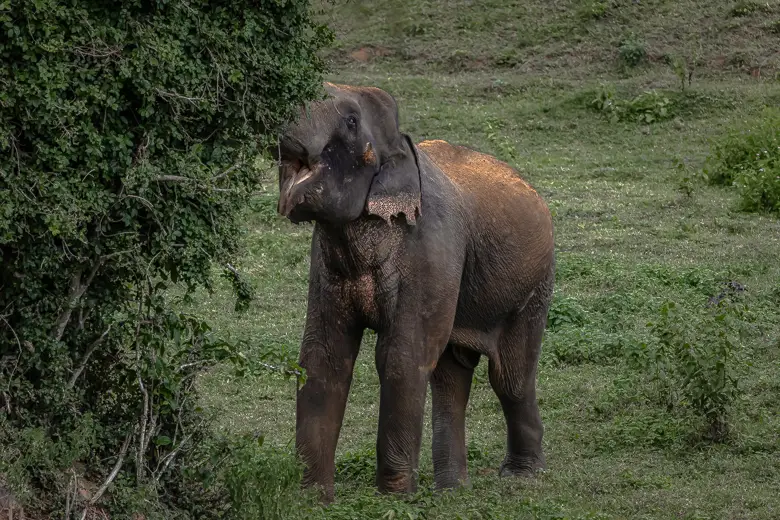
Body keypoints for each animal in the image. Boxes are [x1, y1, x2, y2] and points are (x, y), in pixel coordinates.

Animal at [275, 82, 555, 502]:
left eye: (351, 120)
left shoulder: (429, 249)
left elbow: (402, 356)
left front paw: (393, 499)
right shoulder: (323, 260)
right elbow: (323, 356)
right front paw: (312, 499)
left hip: (533, 286)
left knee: (511, 377)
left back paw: (520, 476)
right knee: (451, 377)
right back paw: (451, 491)